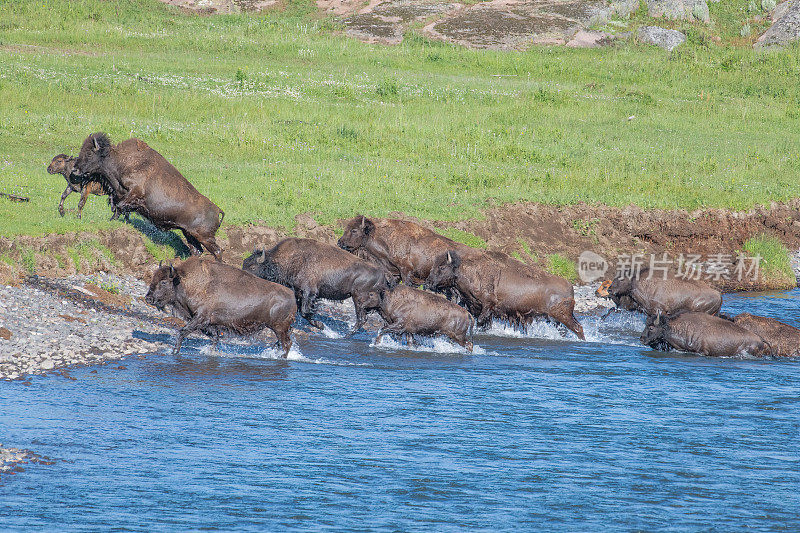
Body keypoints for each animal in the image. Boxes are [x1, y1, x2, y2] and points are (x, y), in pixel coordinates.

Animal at [145, 256, 296, 356]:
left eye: (164, 282)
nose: (148, 298)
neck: (184, 282)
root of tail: (292, 297)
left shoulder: (200, 318)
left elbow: (183, 331)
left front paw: (174, 351)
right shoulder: (207, 324)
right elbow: (215, 338)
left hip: (279, 328)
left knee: (286, 344)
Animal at [245, 238, 392, 334]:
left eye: (253, 267)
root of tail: (382, 272)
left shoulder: (309, 292)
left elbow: (305, 312)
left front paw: (321, 326)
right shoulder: (299, 293)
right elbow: (302, 312)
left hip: (359, 298)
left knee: (362, 318)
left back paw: (347, 334)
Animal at [422, 248, 584, 338]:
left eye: (442, 267)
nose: (428, 283)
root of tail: (570, 287)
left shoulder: (488, 306)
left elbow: (481, 321)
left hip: (562, 316)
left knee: (578, 328)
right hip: (556, 319)